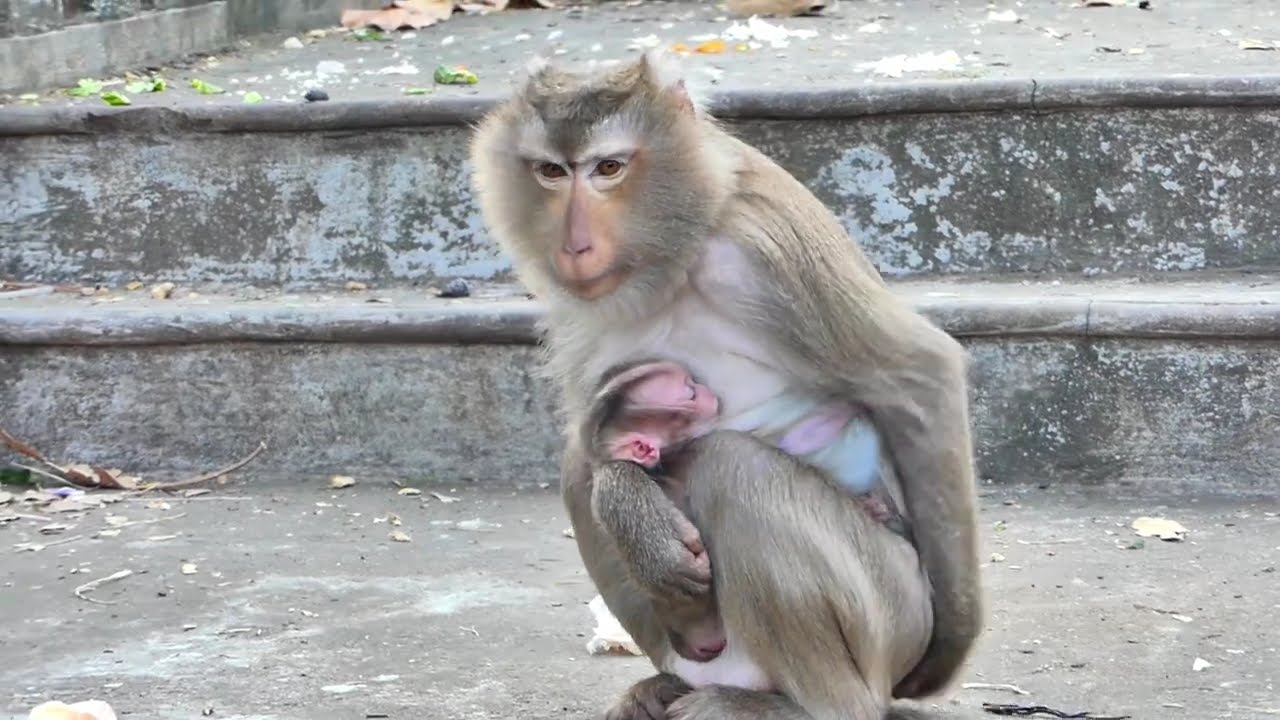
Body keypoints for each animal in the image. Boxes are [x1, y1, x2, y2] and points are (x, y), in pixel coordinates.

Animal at [470, 51, 982, 718]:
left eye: (608, 168)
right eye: (552, 171)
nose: (574, 245)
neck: (678, 249)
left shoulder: (766, 242)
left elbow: (919, 374)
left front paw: (946, 654)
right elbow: (597, 442)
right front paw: (638, 522)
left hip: (891, 610)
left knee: (736, 469)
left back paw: (811, 707)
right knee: (581, 467)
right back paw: (672, 680)